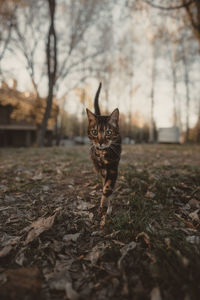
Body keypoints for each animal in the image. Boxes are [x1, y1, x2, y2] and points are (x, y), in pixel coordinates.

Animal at [85, 83, 121, 212]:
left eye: (108, 132)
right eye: (94, 132)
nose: (100, 142)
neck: (102, 153)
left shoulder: (113, 168)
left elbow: (108, 186)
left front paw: (105, 204)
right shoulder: (100, 167)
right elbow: (104, 181)